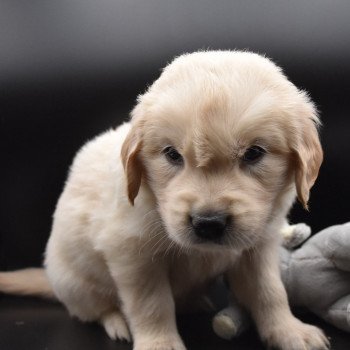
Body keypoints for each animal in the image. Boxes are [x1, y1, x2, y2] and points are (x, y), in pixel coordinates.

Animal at [0, 50, 328, 350]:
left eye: (254, 153)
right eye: (172, 154)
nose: (208, 223)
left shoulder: (259, 247)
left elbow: (270, 291)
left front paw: (289, 331)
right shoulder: (133, 254)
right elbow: (151, 303)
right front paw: (159, 343)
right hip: (75, 282)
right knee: (95, 308)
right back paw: (116, 321)